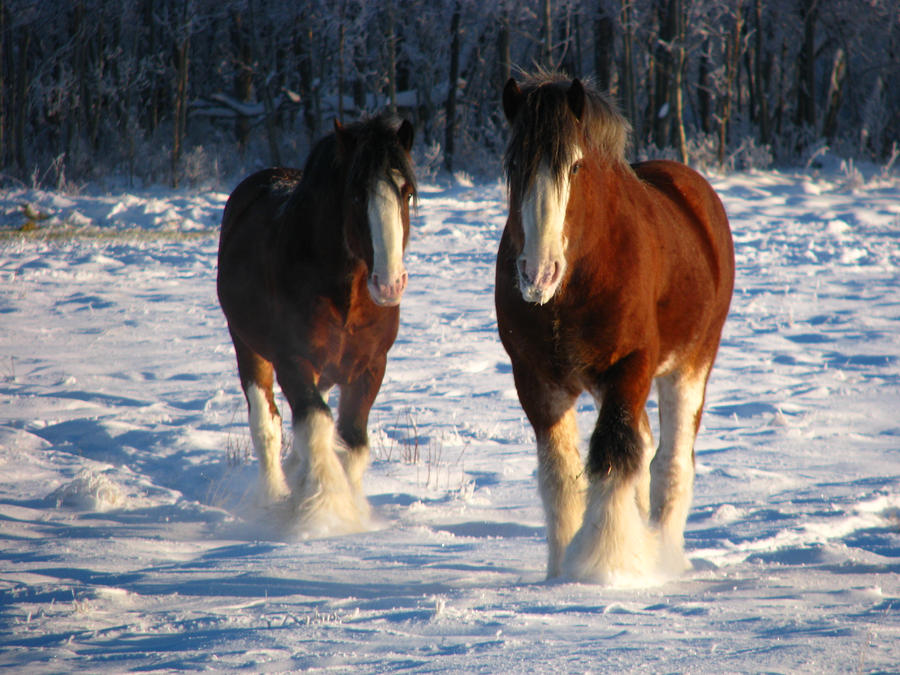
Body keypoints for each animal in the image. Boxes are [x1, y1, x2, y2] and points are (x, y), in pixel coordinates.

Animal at [218, 116, 414, 536]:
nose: (389, 284)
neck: (346, 298)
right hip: (249, 347)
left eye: (406, 194)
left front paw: (352, 510)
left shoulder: (370, 368)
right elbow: (317, 425)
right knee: (266, 426)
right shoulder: (293, 362)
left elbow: (353, 442)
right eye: (356, 196)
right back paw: (272, 498)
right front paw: (324, 511)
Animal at [496, 71, 736, 584]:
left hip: (688, 368)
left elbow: (611, 456)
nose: (537, 272)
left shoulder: (631, 366)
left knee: (670, 464)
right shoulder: (537, 380)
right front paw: (560, 568)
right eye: (513, 163)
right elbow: (561, 475)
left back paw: (664, 554)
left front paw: (602, 564)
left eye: (575, 167)